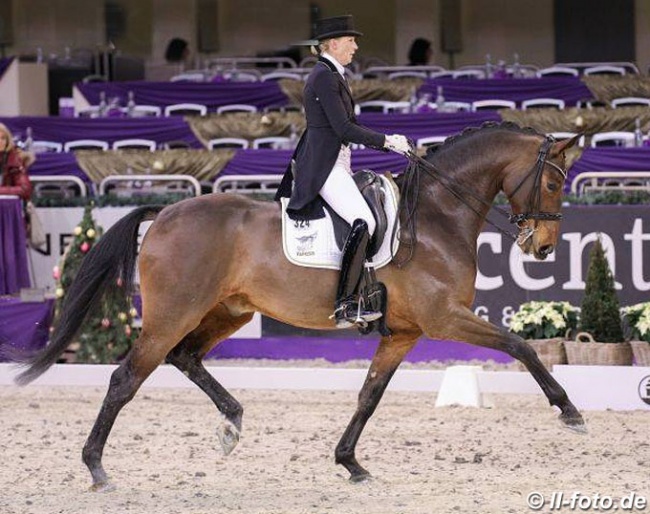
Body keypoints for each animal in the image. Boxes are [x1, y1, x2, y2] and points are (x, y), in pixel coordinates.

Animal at [13, 121, 584, 488]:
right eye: (552, 181)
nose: (542, 248)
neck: (437, 215)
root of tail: (167, 211)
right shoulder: (443, 319)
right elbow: (520, 346)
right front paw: (570, 412)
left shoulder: (404, 332)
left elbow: (368, 396)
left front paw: (350, 463)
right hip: (173, 314)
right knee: (126, 378)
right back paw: (96, 468)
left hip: (228, 311)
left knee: (185, 357)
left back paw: (231, 423)